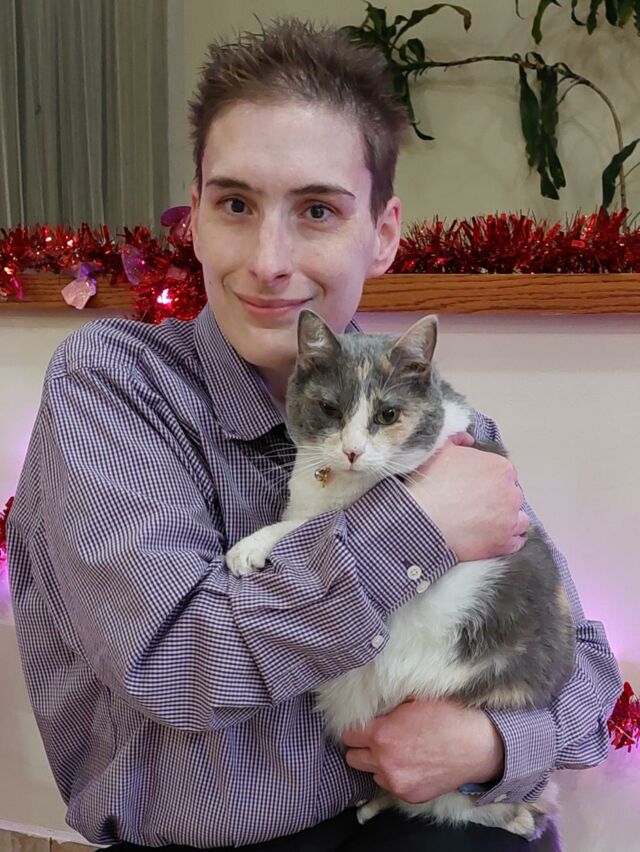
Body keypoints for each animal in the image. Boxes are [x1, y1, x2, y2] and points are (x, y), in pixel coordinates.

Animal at [225, 309, 575, 840]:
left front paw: (251, 545)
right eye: (329, 408)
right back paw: (373, 803)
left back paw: (513, 815)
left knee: (493, 805)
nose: (352, 450)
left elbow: (310, 526)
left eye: (388, 415)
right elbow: (307, 520)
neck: (336, 487)